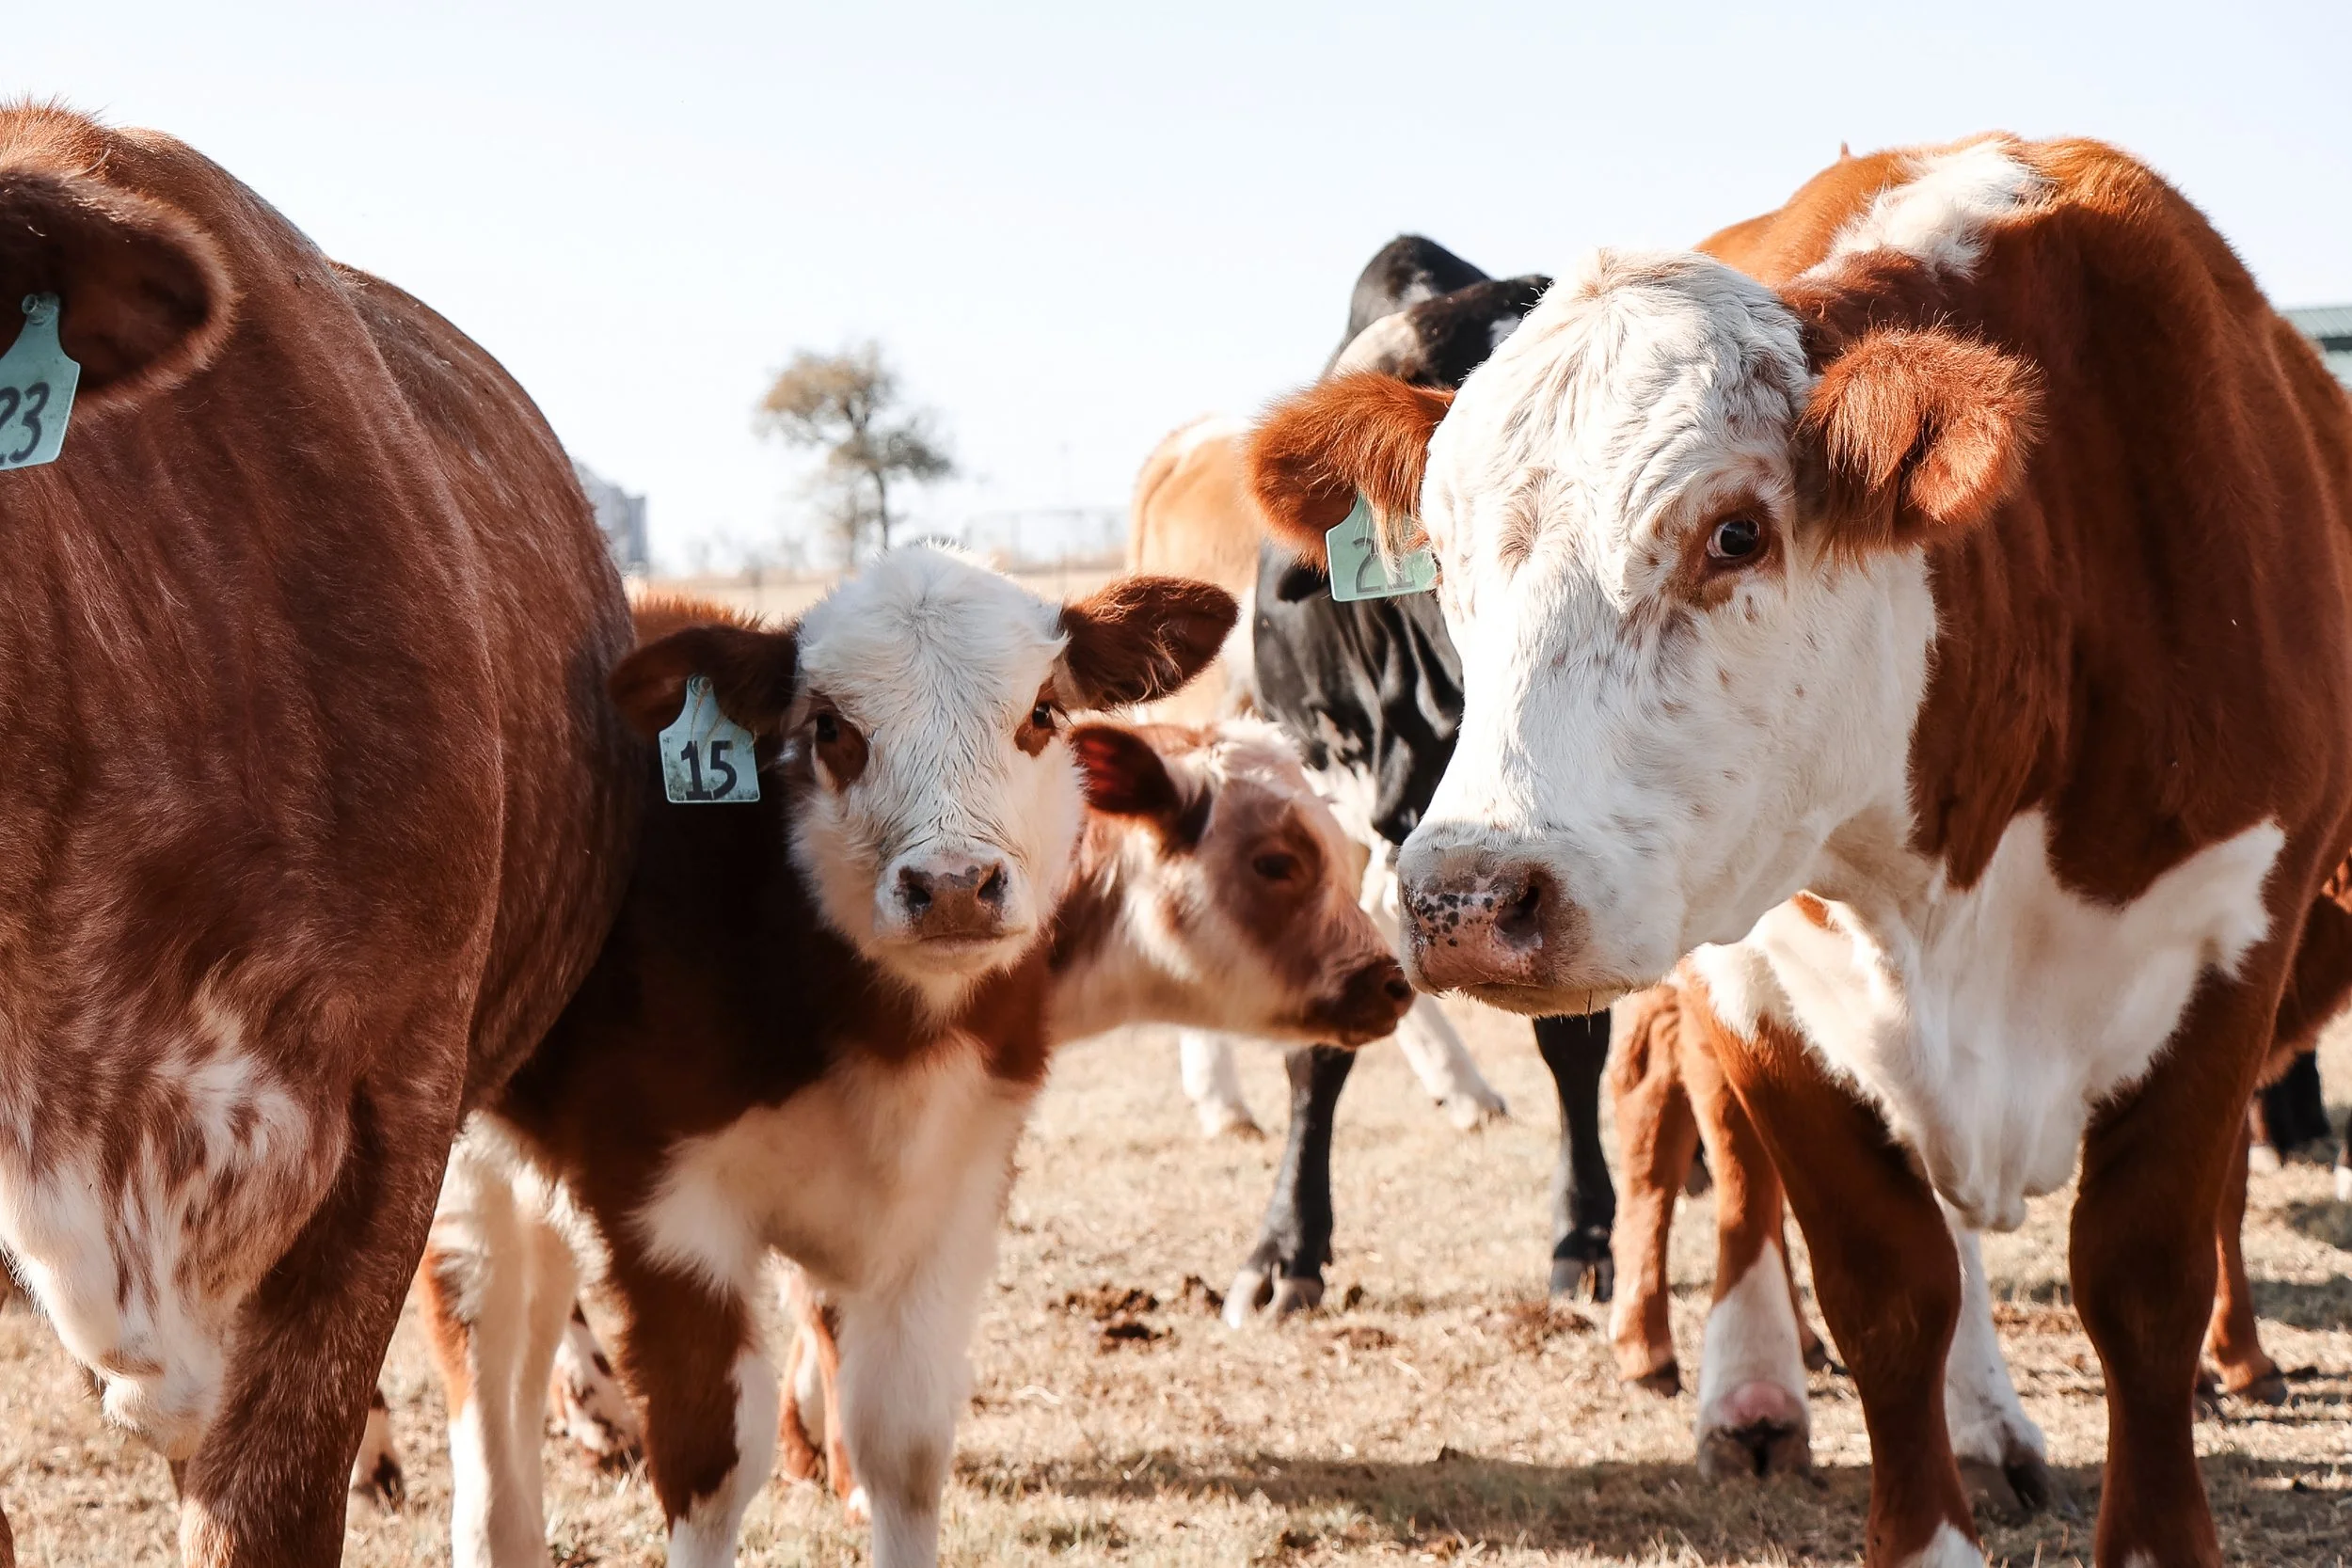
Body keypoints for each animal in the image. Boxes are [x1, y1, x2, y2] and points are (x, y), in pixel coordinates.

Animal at [414, 554, 1412, 1568]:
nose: (955, 885)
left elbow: (903, 1443)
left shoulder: (948, 1197)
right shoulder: (664, 1212)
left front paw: (841, 1467)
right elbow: (710, 1460)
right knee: (483, 1355)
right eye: (827, 727)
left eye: (1042, 711)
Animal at [1247, 135, 2352, 1568]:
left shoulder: (2236, 943)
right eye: (1436, 553)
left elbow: (2147, 1281)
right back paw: (1758, 1389)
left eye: (1735, 531)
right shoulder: (1762, 978)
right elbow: (1884, 1284)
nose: (1467, 898)